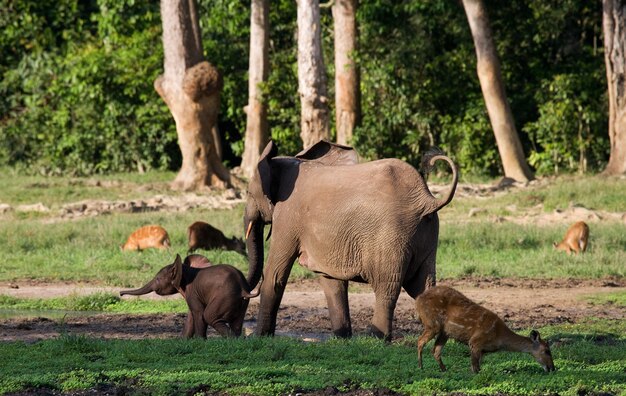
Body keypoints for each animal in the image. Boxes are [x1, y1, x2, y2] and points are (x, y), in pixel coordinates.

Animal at [119, 254, 256, 338]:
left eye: (157, 279)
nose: (120, 293)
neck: (185, 269)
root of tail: (243, 289)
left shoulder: (192, 291)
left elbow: (198, 313)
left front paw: (200, 341)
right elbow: (191, 315)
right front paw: (184, 340)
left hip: (224, 297)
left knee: (209, 316)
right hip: (242, 303)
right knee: (236, 323)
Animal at [241, 140, 456, 340]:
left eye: (249, 193)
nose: (248, 292)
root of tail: (427, 200)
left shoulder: (287, 216)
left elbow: (275, 274)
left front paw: (258, 337)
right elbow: (331, 281)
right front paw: (341, 338)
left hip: (392, 236)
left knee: (386, 288)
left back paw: (377, 339)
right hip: (427, 233)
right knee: (424, 287)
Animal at [414, 286, 552, 372]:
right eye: (547, 351)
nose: (552, 368)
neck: (499, 338)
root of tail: (418, 300)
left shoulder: (483, 350)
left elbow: (478, 367)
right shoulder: (475, 341)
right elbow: (475, 369)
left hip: (445, 332)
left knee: (435, 350)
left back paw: (444, 369)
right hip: (432, 324)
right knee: (420, 341)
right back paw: (421, 367)